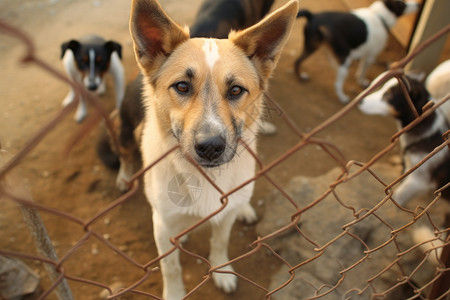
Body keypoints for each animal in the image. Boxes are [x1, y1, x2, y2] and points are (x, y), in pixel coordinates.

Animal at [129, 0, 298, 298]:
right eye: (182, 86)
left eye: (236, 90)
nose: (210, 147)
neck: (205, 177)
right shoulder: (162, 225)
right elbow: (171, 267)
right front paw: (174, 293)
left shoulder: (224, 215)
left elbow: (220, 242)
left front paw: (222, 272)